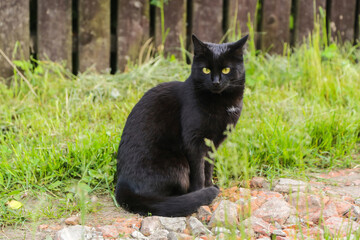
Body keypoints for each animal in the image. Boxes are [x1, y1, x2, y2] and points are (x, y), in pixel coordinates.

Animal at [115, 34, 248, 218]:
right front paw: (202, 192)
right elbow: (199, 172)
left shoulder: (213, 143)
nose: (215, 82)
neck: (221, 102)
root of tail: (123, 183)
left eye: (226, 70)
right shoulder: (194, 142)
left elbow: (208, 167)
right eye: (206, 70)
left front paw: (210, 185)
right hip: (178, 165)